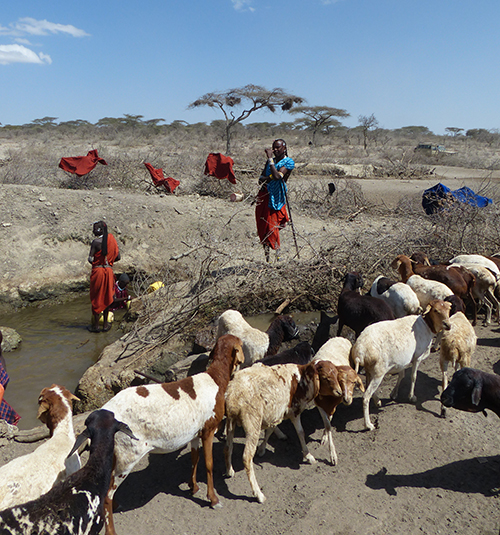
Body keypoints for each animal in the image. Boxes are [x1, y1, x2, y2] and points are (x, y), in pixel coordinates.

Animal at [352, 302, 454, 432]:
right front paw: (411, 397)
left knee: (367, 387)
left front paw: (394, 394)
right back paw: (368, 425)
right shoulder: (417, 357)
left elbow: (402, 375)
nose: (448, 325)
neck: (426, 326)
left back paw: (378, 401)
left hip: (370, 369)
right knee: (365, 396)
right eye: (436, 310)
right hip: (379, 371)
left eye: (449, 309)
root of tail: (360, 350)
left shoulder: (403, 361)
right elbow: (413, 376)